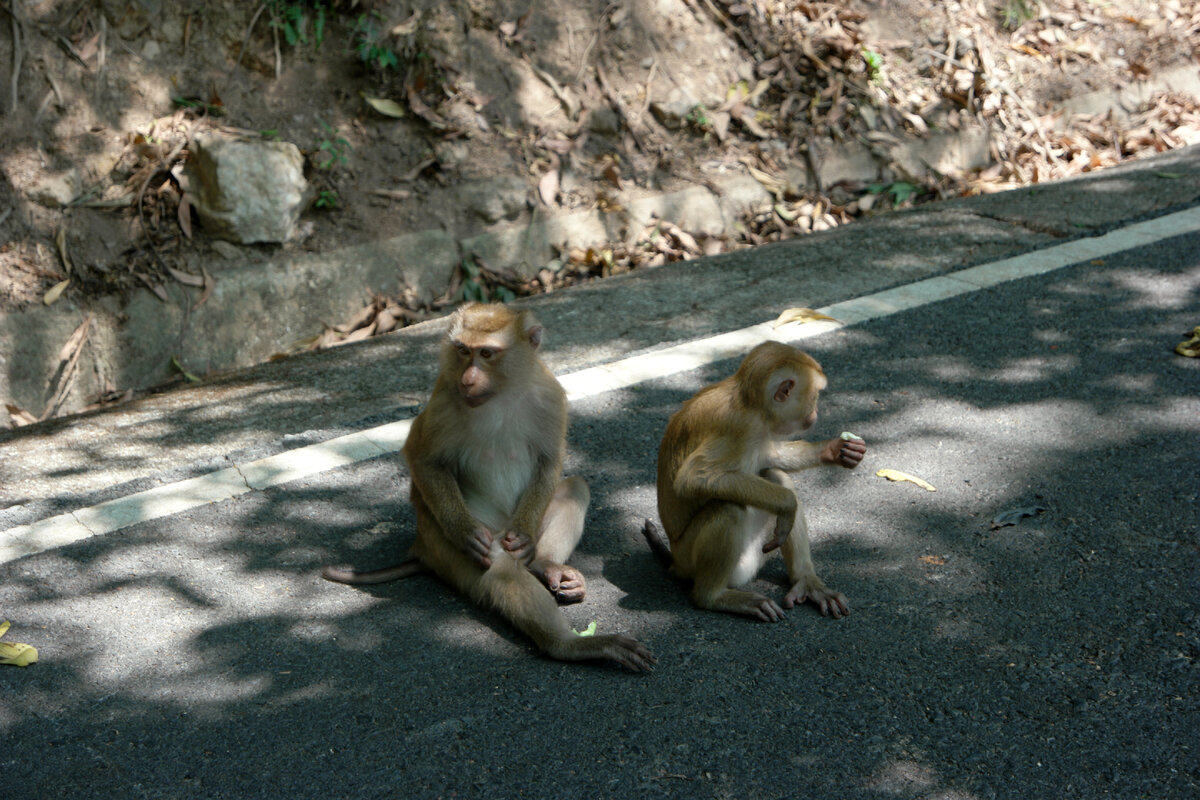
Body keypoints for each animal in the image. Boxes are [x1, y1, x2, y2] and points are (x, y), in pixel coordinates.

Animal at [321, 303, 657, 671]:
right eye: (463, 351)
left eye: (486, 353)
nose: (468, 379)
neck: (501, 395)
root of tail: (421, 548)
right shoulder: (443, 399)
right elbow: (423, 459)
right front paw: (465, 532)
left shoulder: (550, 394)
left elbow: (549, 460)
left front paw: (525, 536)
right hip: (443, 547)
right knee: (499, 564)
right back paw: (568, 644)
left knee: (574, 489)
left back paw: (545, 566)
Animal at [643, 340, 868, 623]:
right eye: (816, 395)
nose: (816, 411)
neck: (751, 404)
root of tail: (676, 562)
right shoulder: (741, 427)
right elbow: (693, 478)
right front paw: (788, 504)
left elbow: (772, 457)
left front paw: (836, 450)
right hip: (694, 559)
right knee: (728, 507)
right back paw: (712, 597)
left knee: (775, 476)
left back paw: (807, 582)